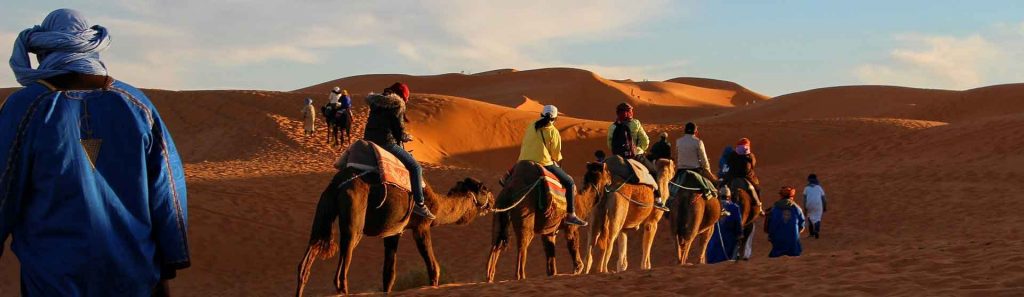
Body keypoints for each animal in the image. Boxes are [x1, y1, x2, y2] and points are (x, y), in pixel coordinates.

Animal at [294, 167, 493, 294]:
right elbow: (433, 267)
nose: (492, 200)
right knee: (341, 272)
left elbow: (389, 274)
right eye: (484, 189)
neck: (436, 205)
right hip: (354, 216)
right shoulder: (421, 227)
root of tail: (337, 183)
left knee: (306, 261)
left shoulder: (393, 232)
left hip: (324, 209)